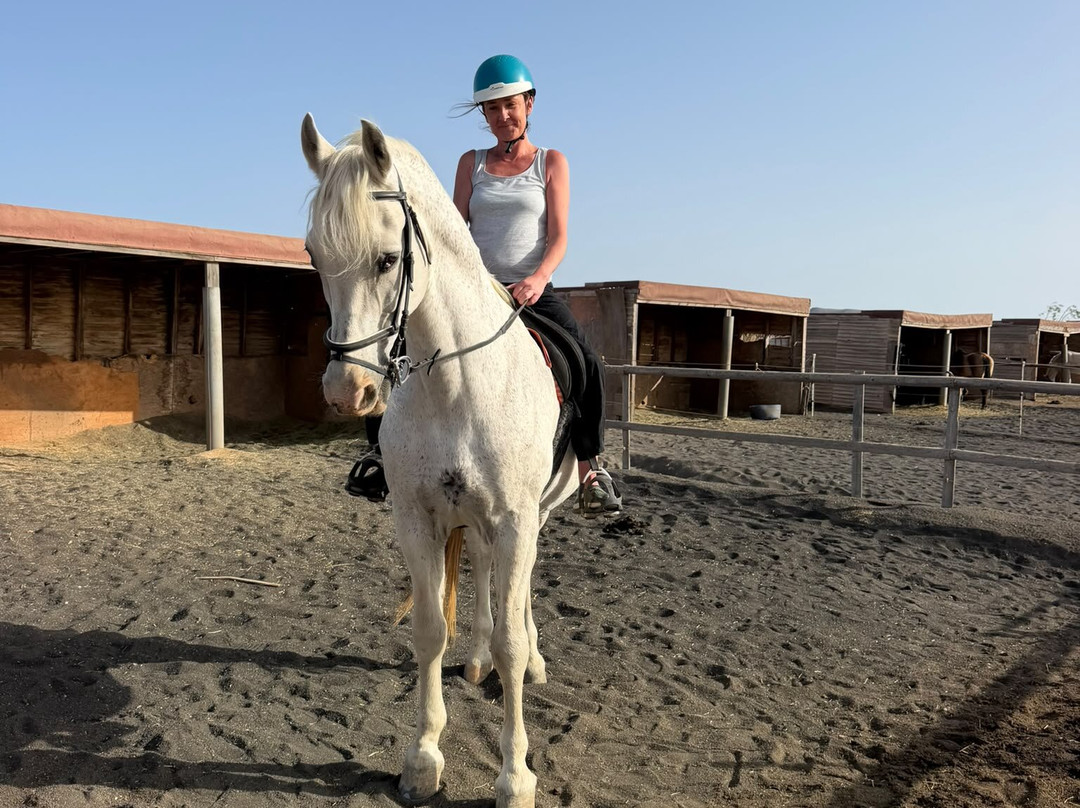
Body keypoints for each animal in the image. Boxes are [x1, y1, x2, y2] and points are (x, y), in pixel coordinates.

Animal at [301, 114, 579, 808]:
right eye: (314, 255)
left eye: (388, 258)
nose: (347, 392)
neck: (455, 385)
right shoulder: (416, 518)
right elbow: (430, 630)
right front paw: (423, 758)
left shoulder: (515, 518)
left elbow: (512, 637)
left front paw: (515, 775)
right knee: (482, 573)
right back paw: (476, 658)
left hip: (535, 515)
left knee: (521, 592)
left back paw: (532, 661)